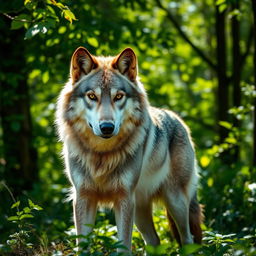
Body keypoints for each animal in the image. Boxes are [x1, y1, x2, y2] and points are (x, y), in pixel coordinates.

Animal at [55, 47, 203, 253]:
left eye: (118, 97)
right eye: (92, 96)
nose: (107, 127)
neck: (102, 155)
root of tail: (177, 119)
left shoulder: (124, 199)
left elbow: (124, 246)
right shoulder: (83, 197)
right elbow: (83, 246)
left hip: (175, 203)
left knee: (188, 239)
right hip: (140, 209)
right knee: (155, 241)